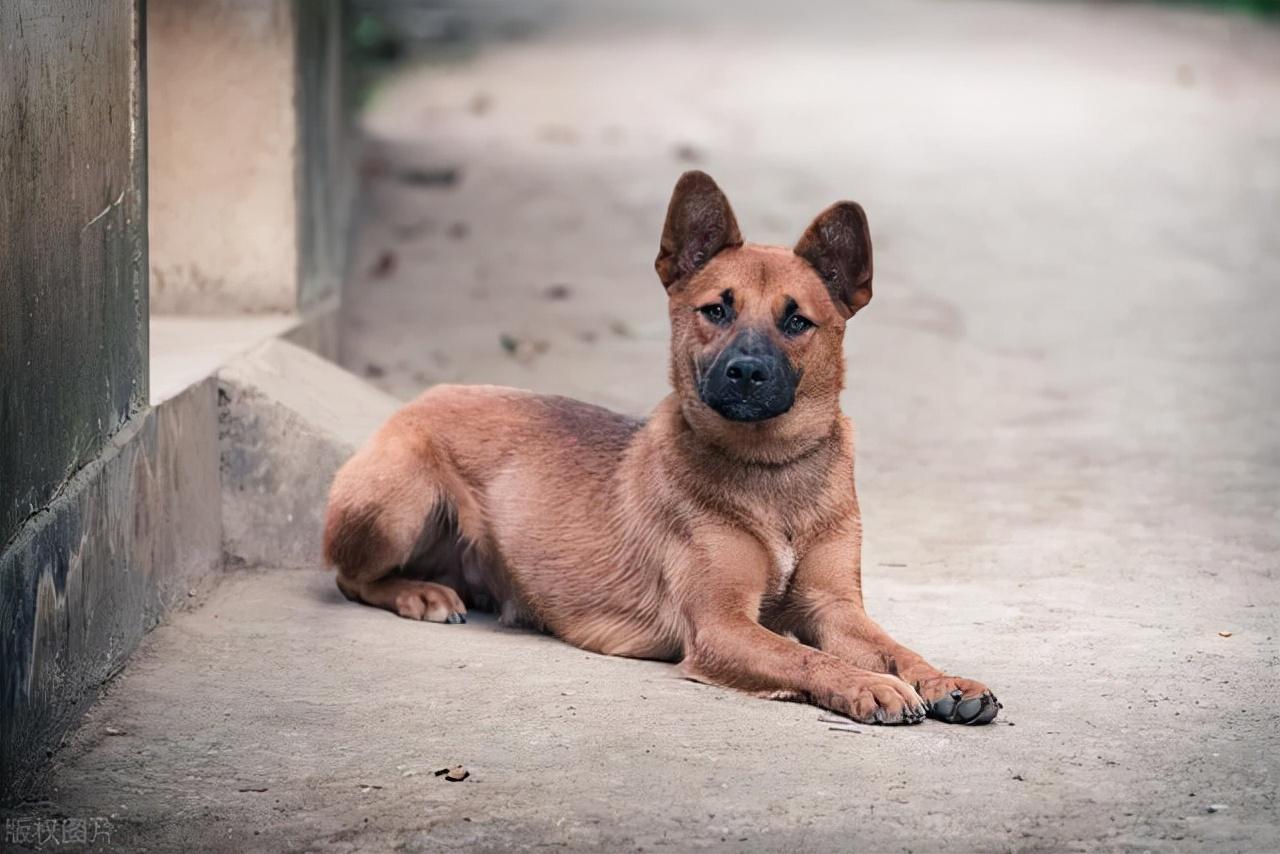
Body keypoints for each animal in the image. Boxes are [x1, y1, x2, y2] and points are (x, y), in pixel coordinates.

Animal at [322, 174, 998, 727]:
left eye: (796, 322)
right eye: (716, 310)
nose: (746, 373)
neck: (770, 470)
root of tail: (416, 400)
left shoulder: (836, 609)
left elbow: (896, 648)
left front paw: (944, 680)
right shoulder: (723, 626)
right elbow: (803, 657)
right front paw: (866, 685)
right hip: (397, 503)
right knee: (349, 578)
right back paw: (420, 594)